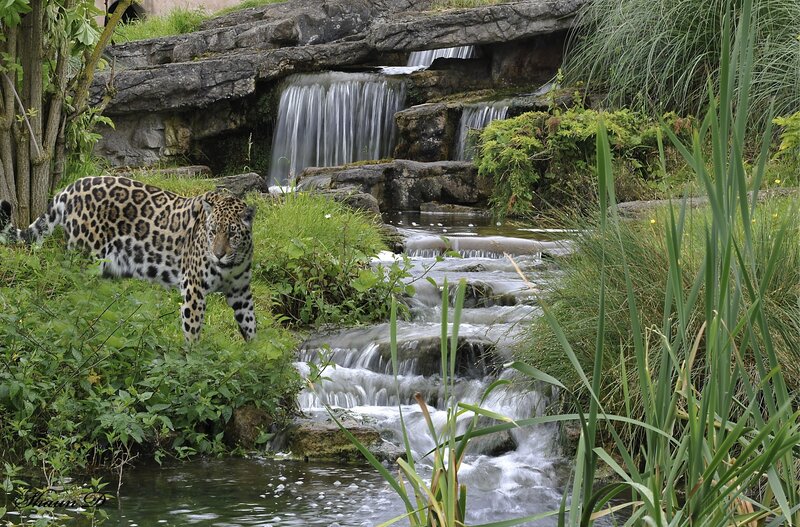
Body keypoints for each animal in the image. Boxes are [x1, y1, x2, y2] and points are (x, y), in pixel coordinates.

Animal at [0, 176, 256, 342]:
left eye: (232, 234)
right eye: (212, 232)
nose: (218, 254)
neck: (231, 265)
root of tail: (69, 188)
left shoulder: (240, 291)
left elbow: (251, 324)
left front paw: (254, 356)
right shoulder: (194, 288)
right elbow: (192, 331)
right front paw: (192, 361)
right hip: (86, 259)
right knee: (72, 295)